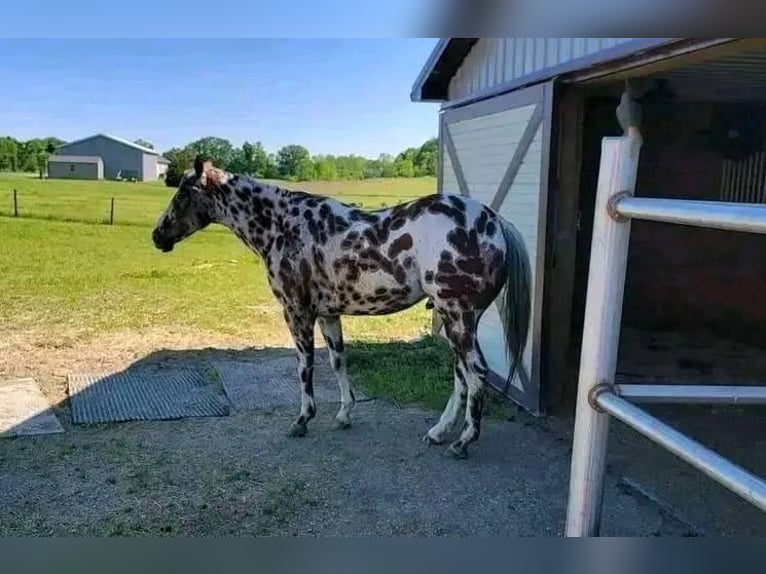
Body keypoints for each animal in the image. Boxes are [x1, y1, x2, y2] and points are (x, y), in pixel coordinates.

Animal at [152, 156, 531, 459]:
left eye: (183, 194)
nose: (157, 236)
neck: (284, 226)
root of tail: (494, 222)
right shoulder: (328, 314)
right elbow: (337, 361)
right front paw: (344, 415)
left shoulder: (297, 312)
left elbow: (305, 367)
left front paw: (302, 420)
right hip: (458, 319)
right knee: (461, 375)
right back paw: (439, 433)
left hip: (458, 317)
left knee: (475, 371)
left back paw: (463, 442)